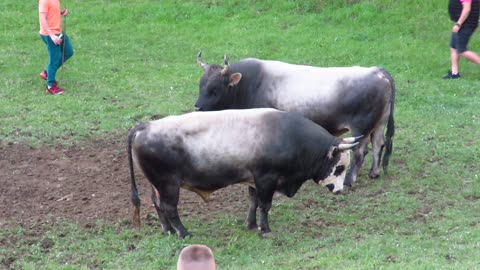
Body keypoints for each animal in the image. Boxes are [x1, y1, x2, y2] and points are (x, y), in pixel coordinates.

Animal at [193, 53, 396, 187]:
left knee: (361, 152)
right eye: (200, 86)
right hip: (378, 124)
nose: (197, 108)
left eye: (214, 89)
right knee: (378, 145)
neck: (250, 84)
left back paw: (348, 181)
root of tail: (377, 72)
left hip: (361, 128)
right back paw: (374, 173)